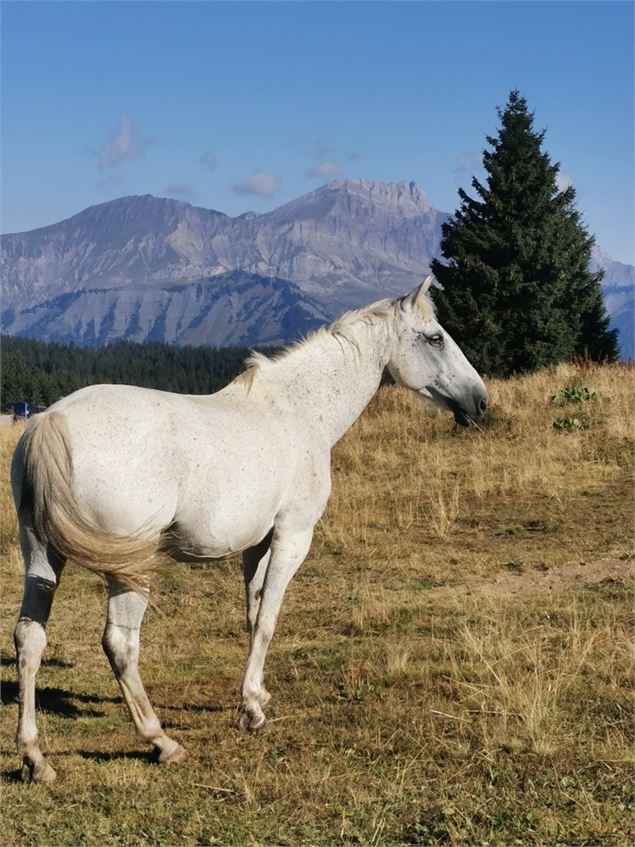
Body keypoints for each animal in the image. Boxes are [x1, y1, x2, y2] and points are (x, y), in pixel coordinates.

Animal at [11, 276, 487, 782]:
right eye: (435, 338)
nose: (480, 401)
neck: (299, 410)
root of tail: (49, 421)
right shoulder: (293, 537)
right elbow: (268, 621)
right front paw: (251, 714)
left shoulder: (255, 547)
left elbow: (253, 613)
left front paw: (256, 695)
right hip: (128, 569)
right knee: (120, 644)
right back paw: (161, 741)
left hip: (41, 557)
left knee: (29, 639)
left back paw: (35, 758)